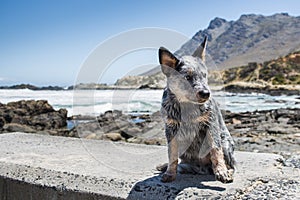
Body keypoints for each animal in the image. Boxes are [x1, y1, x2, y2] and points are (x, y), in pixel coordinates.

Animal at [157, 37, 237, 183]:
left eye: (204, 75)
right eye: (187, 77)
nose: (206, 93)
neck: (187, 106)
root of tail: (201, 168)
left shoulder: (210, 125)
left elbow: (216, 151)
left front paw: (221, 171)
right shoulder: (171, 129)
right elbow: (172, 154)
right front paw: (170, 173)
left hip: (226, 142)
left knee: (232, 165)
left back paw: (228, 171)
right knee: (182, 162)